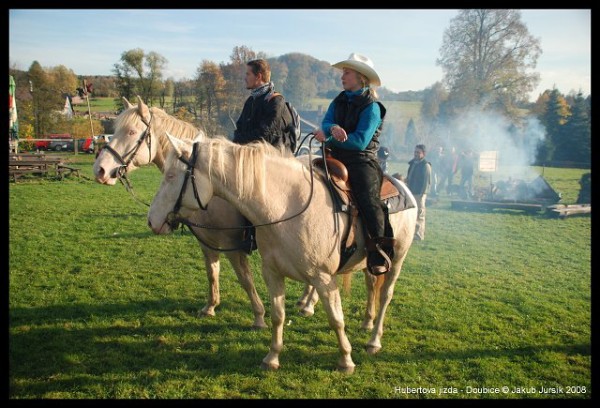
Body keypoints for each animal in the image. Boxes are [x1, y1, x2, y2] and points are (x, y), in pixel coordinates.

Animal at [149, 134, 418, 372]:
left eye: (171, 176)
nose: (152, 220)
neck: (286, 207)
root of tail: (403, 186)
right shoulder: (272, 273)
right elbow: (278, 315)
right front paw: (272, 357)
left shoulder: (323, 278)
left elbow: (336, 319)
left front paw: (346, 360)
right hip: (368, 263)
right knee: (372, 286)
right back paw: (365, 322)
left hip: (396, 261)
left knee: (386, 295)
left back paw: (373, 340)